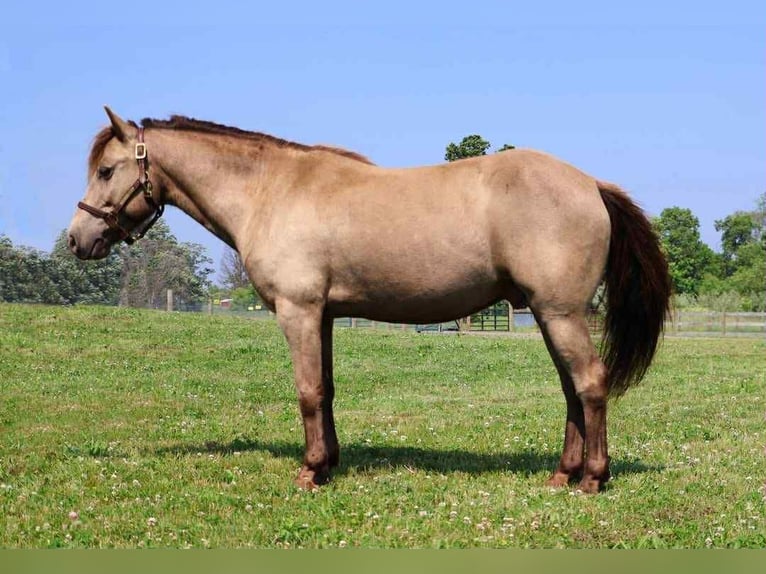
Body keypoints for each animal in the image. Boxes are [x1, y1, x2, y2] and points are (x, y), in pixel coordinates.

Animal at [68, 107, 671, 493]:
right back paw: (562, 474)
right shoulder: (325, 316)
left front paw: (310, 472)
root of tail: (590, 184)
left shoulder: (298, 311)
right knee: (572, 390)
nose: (77, 240)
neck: (270, 190)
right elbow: (327, 390)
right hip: (549, 315)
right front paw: (329, 464)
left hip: (559, 313)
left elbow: (307, 392)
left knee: (590, 384)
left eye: (106, 170)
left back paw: (592, 479)